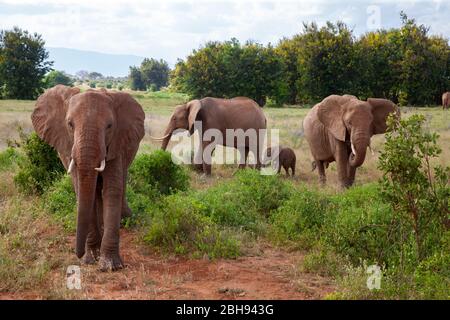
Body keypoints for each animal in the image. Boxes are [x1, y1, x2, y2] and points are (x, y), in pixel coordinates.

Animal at [31, 85, 144, 270]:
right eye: (70, 124)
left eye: (109, 126)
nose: (78, 254)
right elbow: (80, 188)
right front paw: (90, 259)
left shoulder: (116, 142)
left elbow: (111, 190)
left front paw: (110, 266)